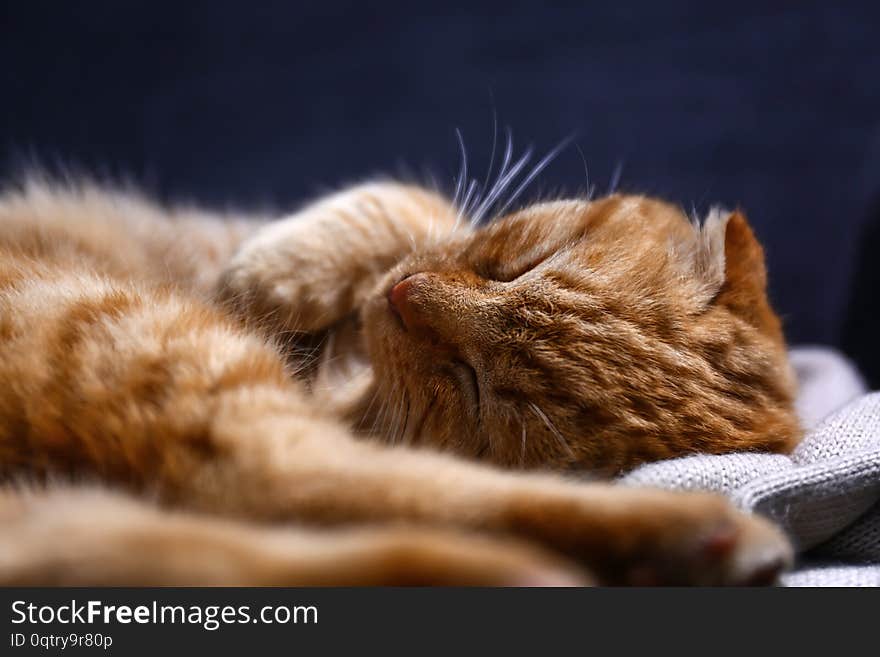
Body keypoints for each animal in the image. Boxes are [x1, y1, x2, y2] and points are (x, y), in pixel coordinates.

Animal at [0, 176, 796, 584]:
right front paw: (278, 270)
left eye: (473, 384)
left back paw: (694, 536)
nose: (404, 295)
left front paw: (264, 279)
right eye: (520, 266)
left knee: (279, 481)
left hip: (145, 336)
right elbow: (412, 203)